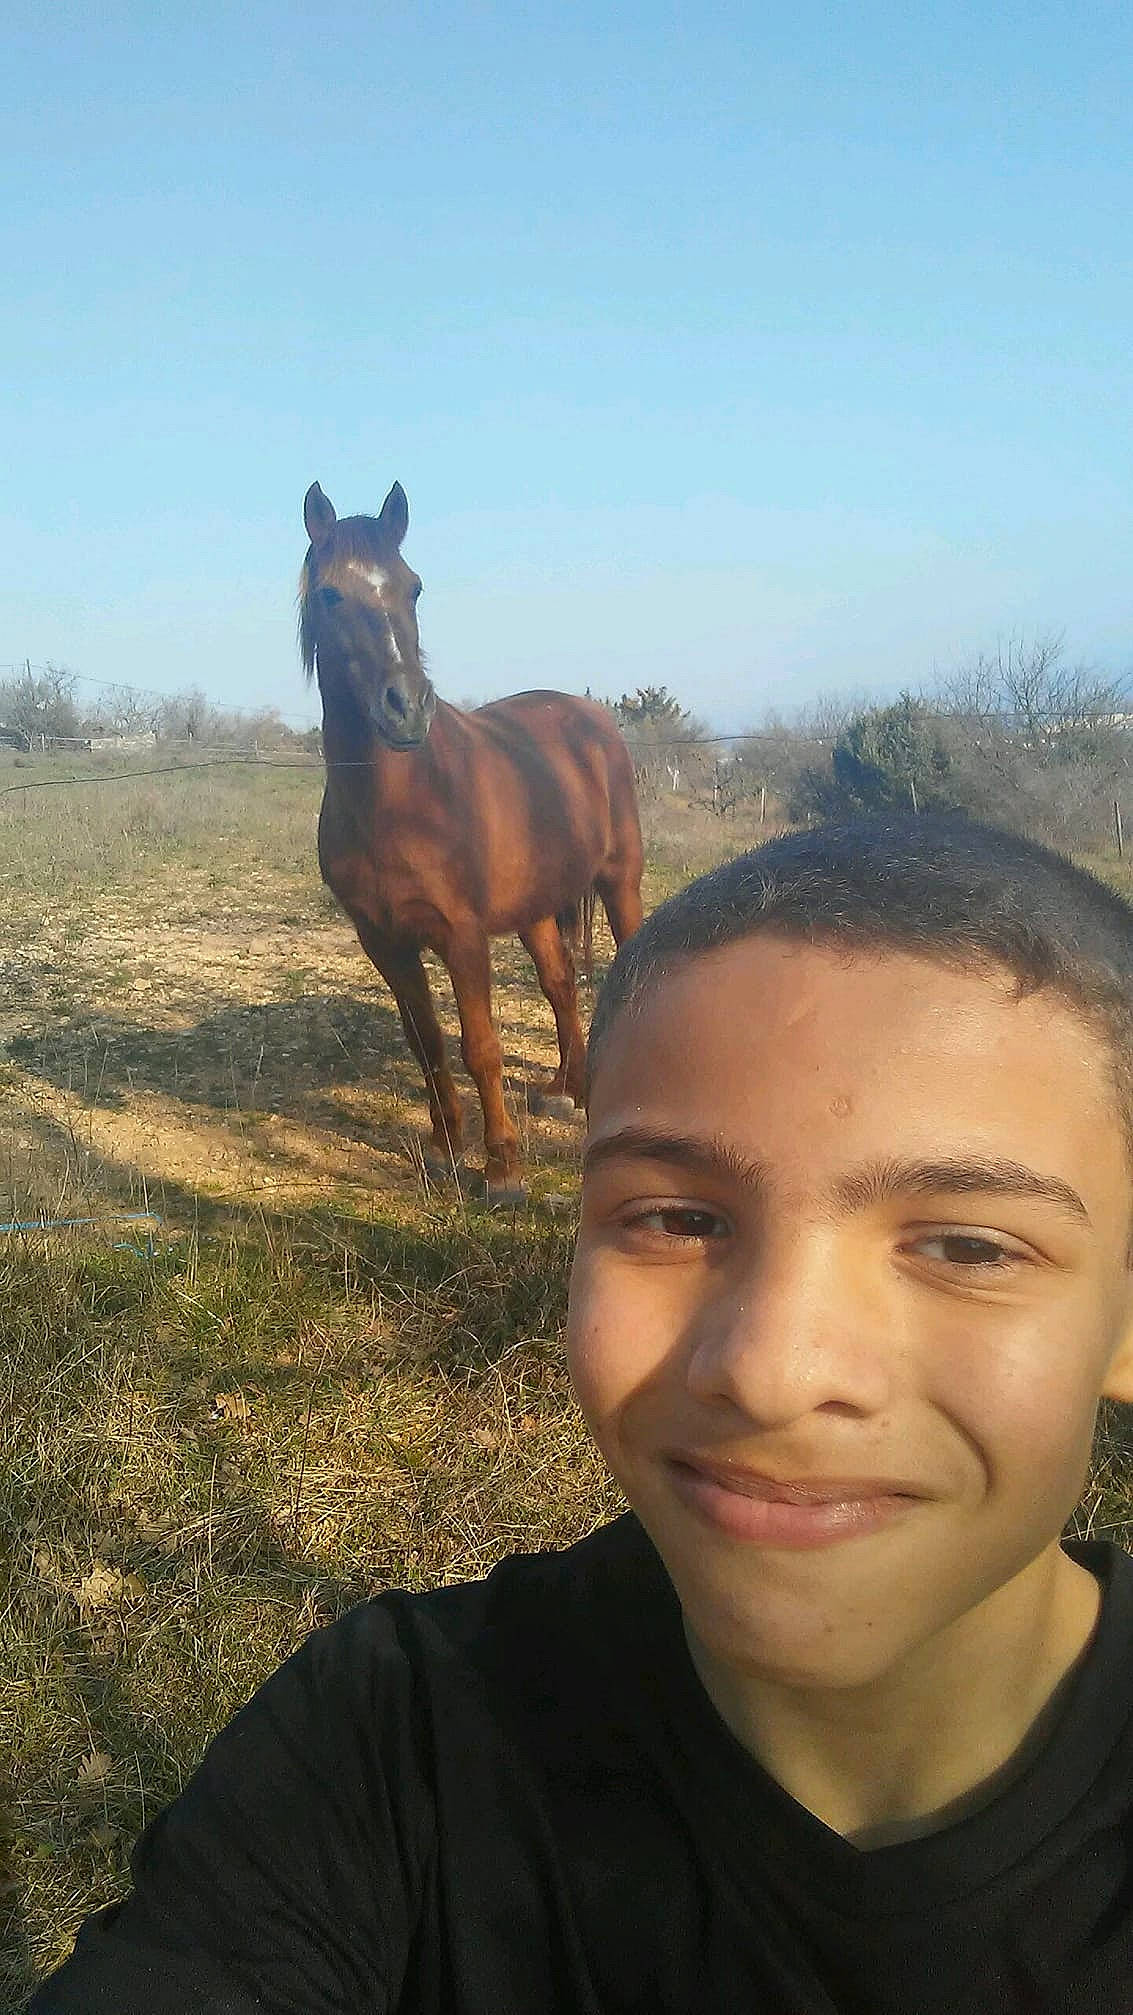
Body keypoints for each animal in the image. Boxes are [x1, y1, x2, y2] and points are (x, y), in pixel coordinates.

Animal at [298, 479, 645, 1202]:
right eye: (331, 595)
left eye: (414, 588)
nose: (406, 708)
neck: (400, 802)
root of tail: (590, 717)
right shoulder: (384, 941)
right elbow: (427, 1042)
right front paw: (444, 1145)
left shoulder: (460, 935)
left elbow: (479, 1045)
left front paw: (504, 1166)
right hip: (535, 906)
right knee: (559, 982)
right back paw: (567, 1090)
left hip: (619, 880)